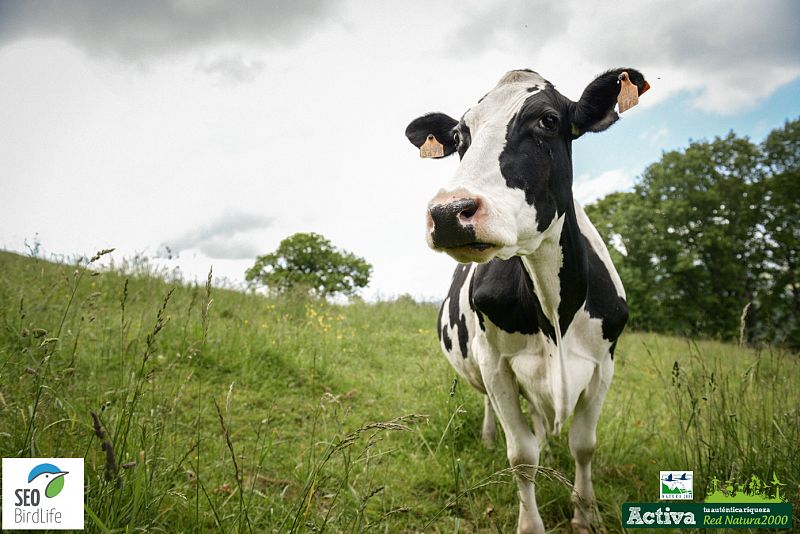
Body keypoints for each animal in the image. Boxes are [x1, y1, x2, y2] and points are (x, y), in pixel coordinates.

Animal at [405, 68, 649, 533]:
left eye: (548, 121)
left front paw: (585, 514)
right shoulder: (496, 363)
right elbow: (521, 455)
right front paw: (531, 522)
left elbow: (584, 445)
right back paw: (488, 437)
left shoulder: (603, 364)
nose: (448, 213)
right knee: (494, 408)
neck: (555, 310)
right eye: (460, 136)